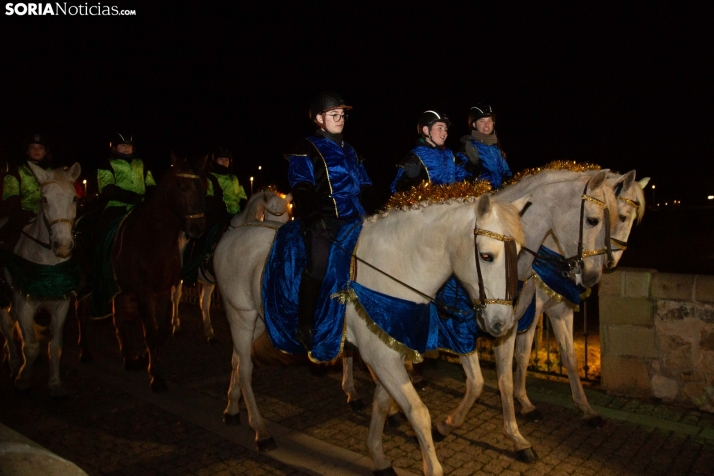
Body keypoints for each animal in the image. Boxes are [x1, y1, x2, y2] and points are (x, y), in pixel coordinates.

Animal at [0, 162, 81, 396]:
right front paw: (23, 378)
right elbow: (32, 346)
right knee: (6, 325)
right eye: (44, 199)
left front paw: (55, 383)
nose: (62, 246)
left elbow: (55, 346)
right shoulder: (24, 302)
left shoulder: (61, 304)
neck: (47, 260)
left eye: (74, 198)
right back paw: (14, 362)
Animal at [76, 154, 207, 392]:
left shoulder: (162, 290)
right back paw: (85, 352)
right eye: (181, 186)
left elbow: (160, 331)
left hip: (115, 287)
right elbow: (151, 332)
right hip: (88, 279)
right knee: (81, 311)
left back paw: (128, 358)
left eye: (203, 186)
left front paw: (145, 358)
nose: (197, 227)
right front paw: (156, 376)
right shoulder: (143, 292)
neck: (153, 239)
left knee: (118, 319)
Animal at [171, 190, 290, 342]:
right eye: (269, 215)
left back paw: (209, 333)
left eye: (287, 219)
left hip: (208, 281)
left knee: (204, 302)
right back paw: (176, 326)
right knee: (176, 296)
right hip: (179, 276)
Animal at [211, 193, 528, 476]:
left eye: (519, 255)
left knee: (236, 361)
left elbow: (383, 403)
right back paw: (260, 430)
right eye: (487, 256)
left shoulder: (390, 348)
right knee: (246, 369)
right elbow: (418, 412)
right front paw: (431, 464)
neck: (397, 267)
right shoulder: (381, 356)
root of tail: (234, 233)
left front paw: (378, 456)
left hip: (259, 321)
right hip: (240, 315)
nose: (502, 323)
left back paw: (231, 409)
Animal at [508, 171, 648, 424]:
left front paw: (585, 407)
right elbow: (522, 354)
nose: (610, 262)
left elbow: (570, 356)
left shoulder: (560, 310)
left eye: (629, 219)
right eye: (622, 217)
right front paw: (524, 402)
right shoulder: (531, 312)